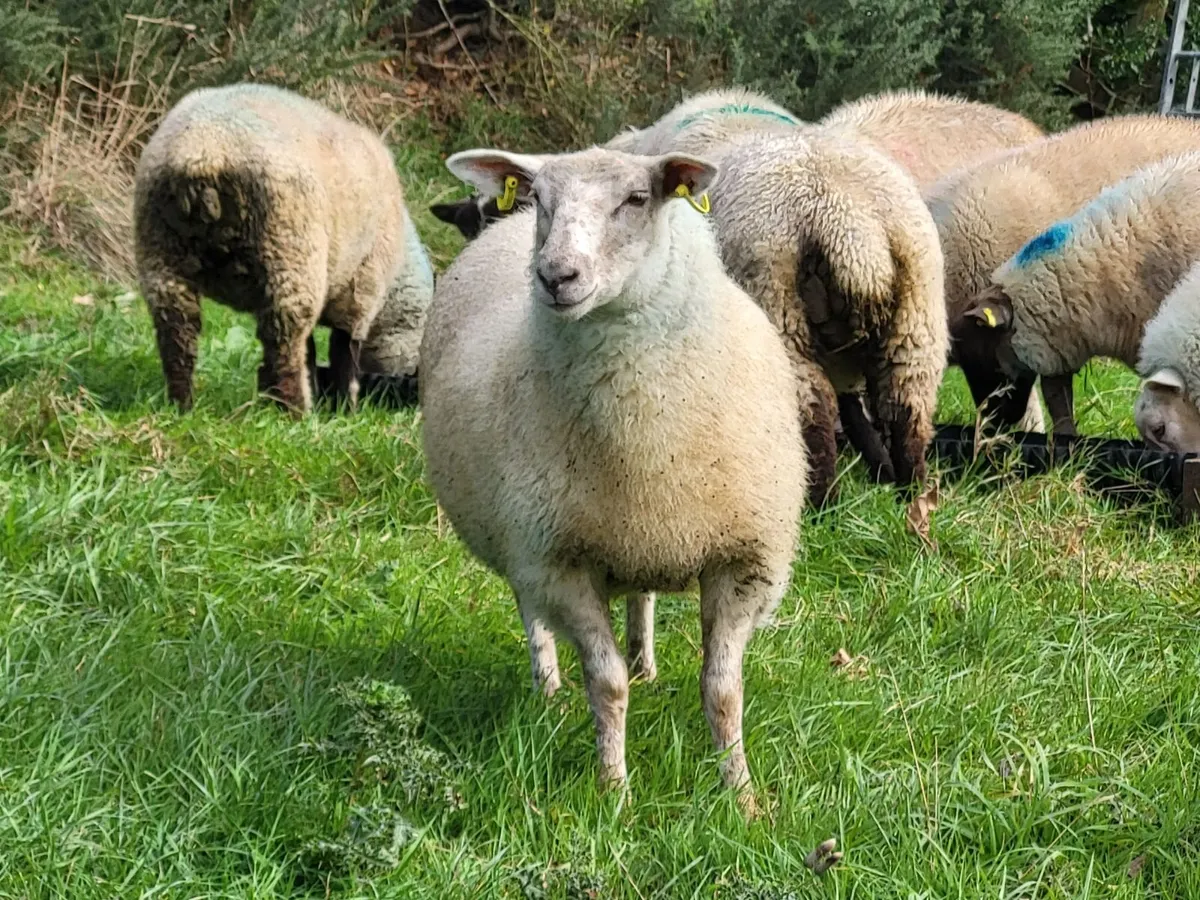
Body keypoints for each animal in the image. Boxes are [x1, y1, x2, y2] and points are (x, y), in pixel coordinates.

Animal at [133, 82, 408, 413]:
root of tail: (203, 152)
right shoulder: (362, 289)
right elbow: (342, 355)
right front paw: (345, 409)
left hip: (161, 251)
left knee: (177, 331)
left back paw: (183, 405)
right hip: (291, 251)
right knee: (286, 342)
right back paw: (297, 410)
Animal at [420, 146, 807, 812]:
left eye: (636, 199)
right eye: (540, 199)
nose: (555, 276)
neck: (643, 428)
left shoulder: (743, 559)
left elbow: (723, 690)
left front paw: (742, 798)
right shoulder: (561, 563)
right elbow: (606, 685)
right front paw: (613, 792)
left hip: (634, 534)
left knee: (640, 594)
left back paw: (647, 662)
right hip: (523, 540)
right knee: (532, 614)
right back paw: (547, 693)